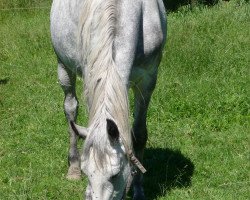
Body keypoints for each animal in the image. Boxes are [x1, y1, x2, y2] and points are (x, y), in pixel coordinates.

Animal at [49, 0, 166, 198]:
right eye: (87, 172)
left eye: (115, 174)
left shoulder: (148, 80)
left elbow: (139, 134)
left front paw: (138, 188)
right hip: (63, 65)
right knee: (71, 109)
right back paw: (72, 167)